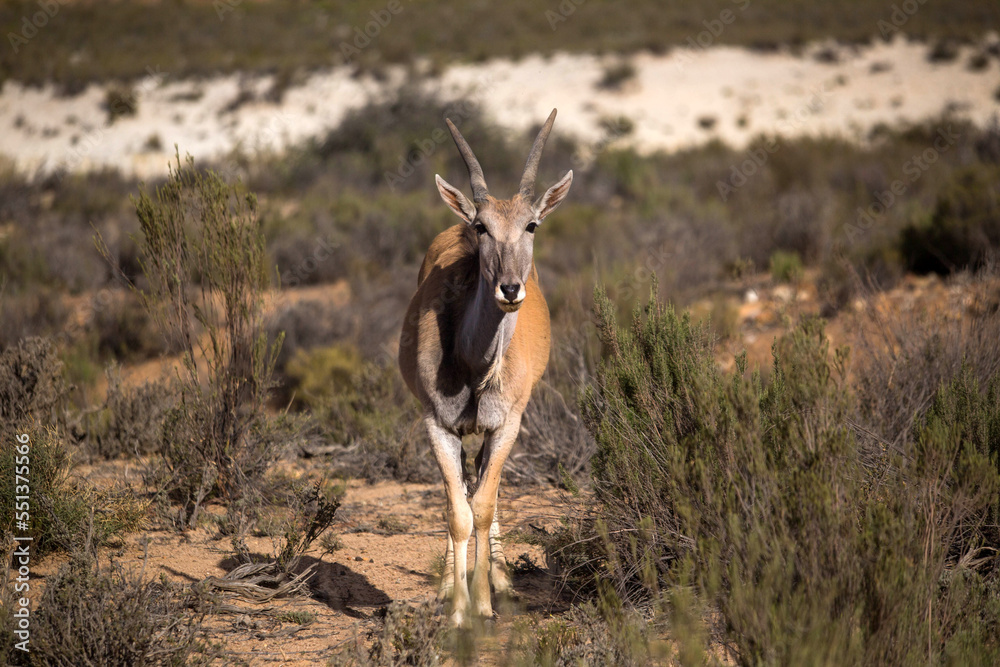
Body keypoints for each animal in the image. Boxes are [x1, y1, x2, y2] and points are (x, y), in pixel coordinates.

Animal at [398, 109, 572, 625]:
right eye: (481, 227)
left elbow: (484, 506)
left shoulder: (507, 424)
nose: (510, 289)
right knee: (459, 490)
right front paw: (457, 608)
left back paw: (498, 576)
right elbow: (457, 511)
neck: (474, 366)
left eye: (532, 224)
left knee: (481, 489)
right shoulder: (437, 424)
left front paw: (484, 602)